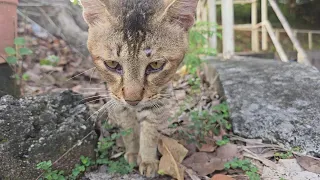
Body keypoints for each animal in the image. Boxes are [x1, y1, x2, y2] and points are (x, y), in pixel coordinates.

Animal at [80, 0, 198, 177]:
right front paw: (133, 152)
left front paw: (148, 160)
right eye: (112, 64)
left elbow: (150, 129)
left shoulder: (159, 95)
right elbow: (128, 127)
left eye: (156, 65)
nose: (132, 99)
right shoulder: (118, 101)